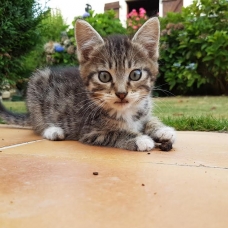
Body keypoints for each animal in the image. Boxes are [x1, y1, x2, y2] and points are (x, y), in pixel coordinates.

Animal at [0, 17, 175, 151]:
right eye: (104, 76)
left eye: (135, 74)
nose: (121, 93)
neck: (127, 112)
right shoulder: (91, 131)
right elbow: (115, 133)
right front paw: (141, 139)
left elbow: (149, 120)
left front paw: (162, 129)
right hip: (37, 85)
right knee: (37, 125)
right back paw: (53, 130)